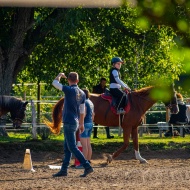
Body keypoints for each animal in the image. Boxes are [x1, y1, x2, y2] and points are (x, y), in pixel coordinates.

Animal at [45, 85, 178, 163]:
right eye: (172, 94)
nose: (176, 110)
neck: (137, 103)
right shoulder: (127, 127)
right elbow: (126, 144)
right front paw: (110, 158)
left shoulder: (134, 127)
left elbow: (136, 143)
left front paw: (140, 158)